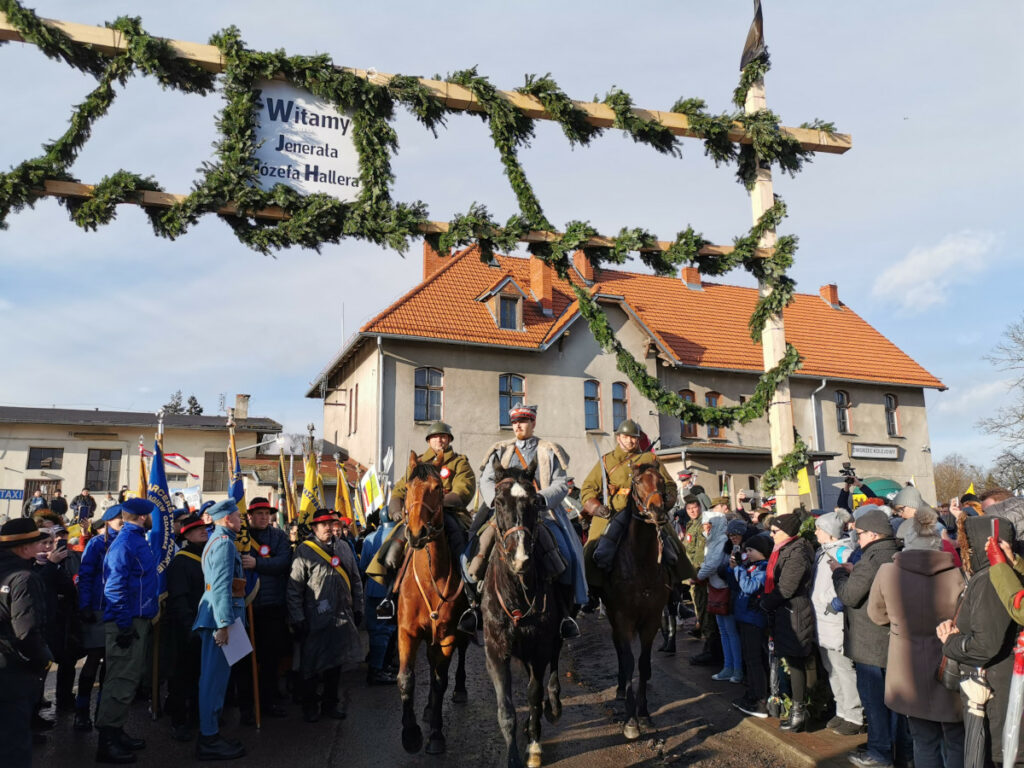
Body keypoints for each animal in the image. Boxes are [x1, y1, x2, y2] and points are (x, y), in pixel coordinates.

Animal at [481, 460, 565, 765]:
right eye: (498, 502)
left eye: (534, 502)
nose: (520, 559)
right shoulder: (496, 652)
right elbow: (506, 710)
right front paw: (513, 757)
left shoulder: (539, 648)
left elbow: (532, 694)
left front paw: (534, 746)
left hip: (555, 638)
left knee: (552, 673)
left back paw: (554, 705)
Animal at [598, 462, 679, 741]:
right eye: (637, 482)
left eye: (661, 481)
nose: (657, 511)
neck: (641, 561)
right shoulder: (623, 618)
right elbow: (629, 660)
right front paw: (630, 720)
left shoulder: (652, 619)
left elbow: (643, 664)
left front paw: (643, 714)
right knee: (620, 651)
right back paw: (621, 688)